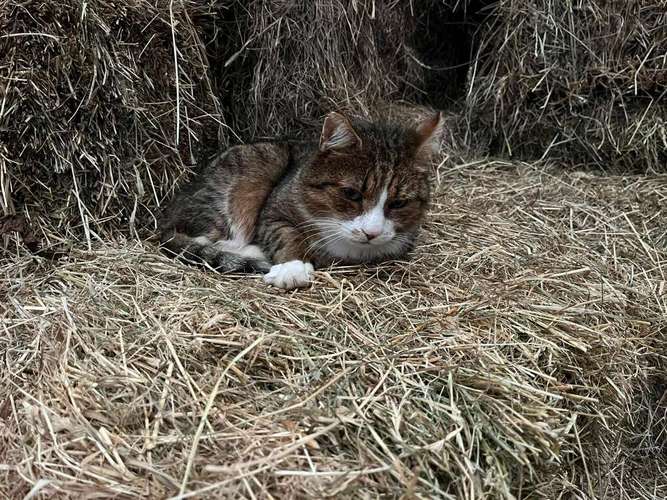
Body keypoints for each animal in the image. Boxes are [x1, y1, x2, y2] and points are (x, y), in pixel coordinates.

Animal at [158, 109, 444, 290]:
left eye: (398, 204)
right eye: (351, 194)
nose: (370, 233)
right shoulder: (273, 211)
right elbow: (286, 234)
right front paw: (292, 268)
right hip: (254, 168)